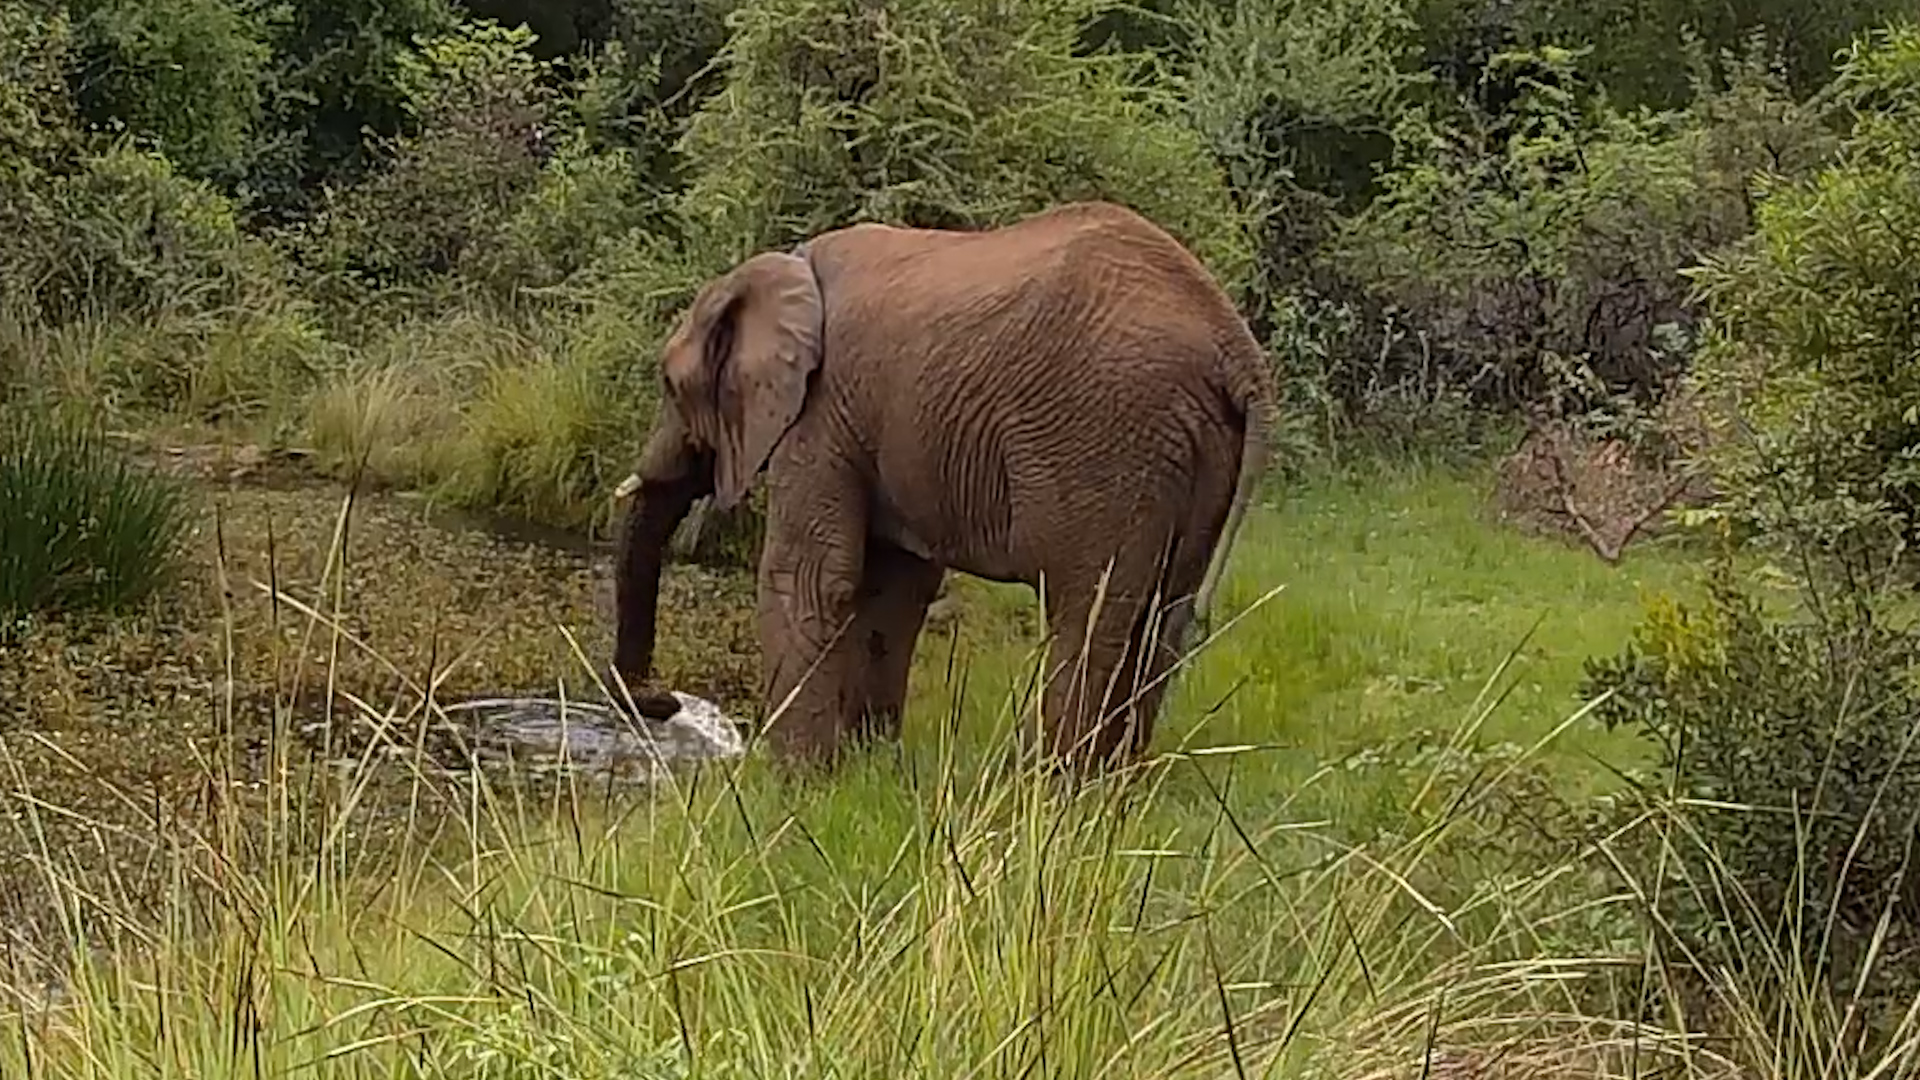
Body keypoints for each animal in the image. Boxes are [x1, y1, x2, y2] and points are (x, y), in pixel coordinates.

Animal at [609, 200, 1279, 772]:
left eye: (668, 384)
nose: (664, 700)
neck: (778, 271)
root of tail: (1234, 345)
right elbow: (893, 590)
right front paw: (867, 771)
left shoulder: (820, 416)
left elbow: (809, 577)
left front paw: (791, 784)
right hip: (1193, 450)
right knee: (1163, 616)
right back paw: (1110, 791)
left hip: (1110, 440)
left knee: (1090, 615)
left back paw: (1048, 791)